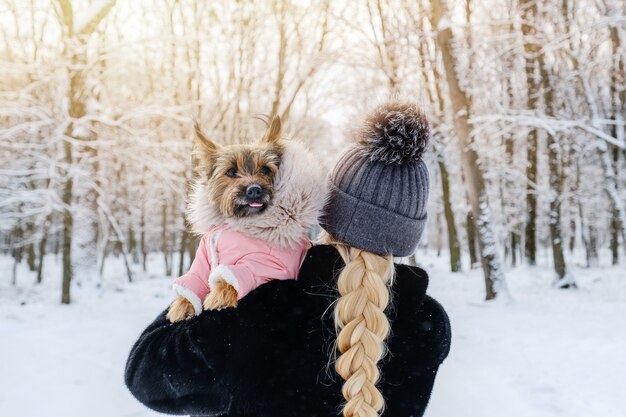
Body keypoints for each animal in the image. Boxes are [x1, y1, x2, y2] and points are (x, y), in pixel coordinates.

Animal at [166, 117, 324, 322]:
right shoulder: (202, 259)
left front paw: (219, 296)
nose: (255, 189)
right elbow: (194, 280)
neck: (234, 224)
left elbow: (235, 274)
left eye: (265, 169)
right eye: (231, 172)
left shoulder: (271, 264)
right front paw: (182, 306)